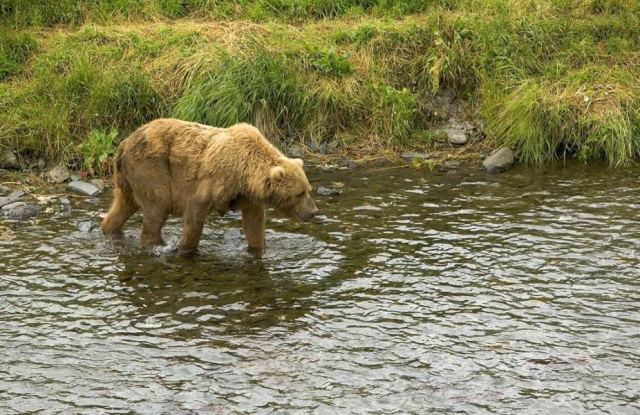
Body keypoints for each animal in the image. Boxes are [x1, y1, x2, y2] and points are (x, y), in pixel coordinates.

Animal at [100, 118, 318, 256]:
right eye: (299, 193)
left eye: (308, 190)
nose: (314, 211)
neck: (244, 173)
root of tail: (123, 144)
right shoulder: (215, 181)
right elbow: (194, 213)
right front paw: (186, 249)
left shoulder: (245, 195)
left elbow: (254, 222)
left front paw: (258, 248)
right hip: (151, 169)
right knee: (157, 207)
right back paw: (156, 243)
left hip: (127, 179)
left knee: (122, 206)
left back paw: (109, 229)